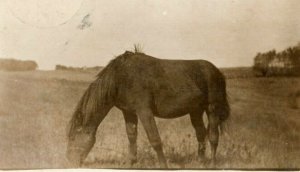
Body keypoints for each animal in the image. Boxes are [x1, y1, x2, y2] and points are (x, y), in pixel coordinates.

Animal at [66, 50, 230, 168]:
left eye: (73, 138)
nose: (69, 161)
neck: (121, 77)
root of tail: (217, 71)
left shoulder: (144, 111)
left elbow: (155, 139)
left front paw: (163, 166)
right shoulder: (129, 112)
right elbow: (132, 136)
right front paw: (131, 163)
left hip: (212, 109)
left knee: (213, 137)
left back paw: (213, 163)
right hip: (195, 111)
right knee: (201, 134)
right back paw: (201, 162)